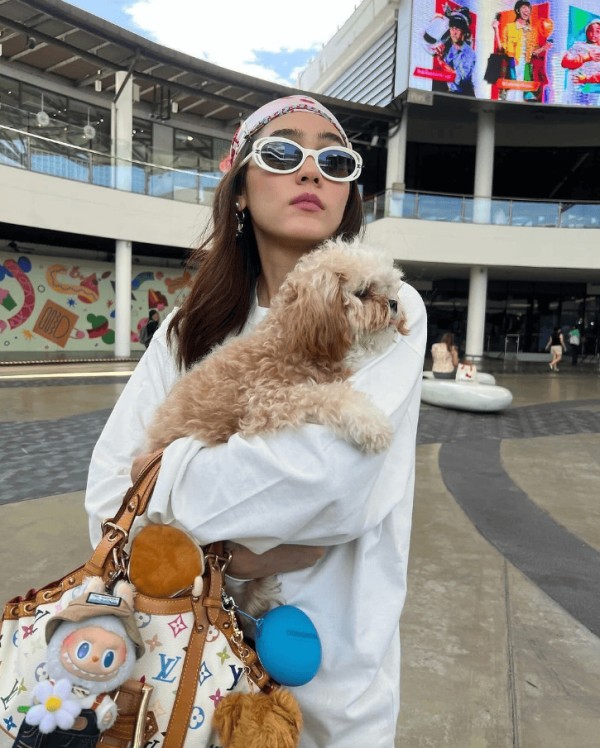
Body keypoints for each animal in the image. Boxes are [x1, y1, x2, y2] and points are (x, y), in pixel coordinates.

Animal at [145, 237, 408, 618]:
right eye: (363, 292)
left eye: (391, 288)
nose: (394, 304)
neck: (291, 339)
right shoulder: (266, 402)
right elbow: (325, 395)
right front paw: (368, 421)